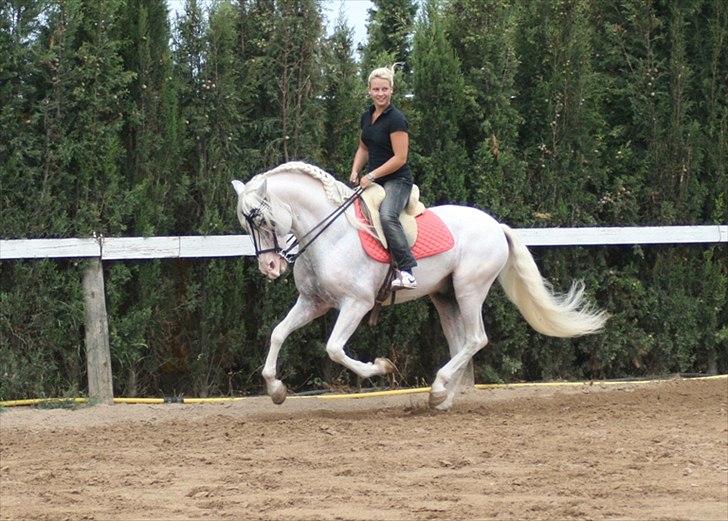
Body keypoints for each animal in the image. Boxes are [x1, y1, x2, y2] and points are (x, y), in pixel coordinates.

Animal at [233, 160, 608, 408]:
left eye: (261, 219)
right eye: (245, 223)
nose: (269, 267)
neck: (333, 234)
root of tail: (496, 225)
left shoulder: (356, 304)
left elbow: (335, 349)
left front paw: (381, 367)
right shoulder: (313, 302)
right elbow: (278, 333)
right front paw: (275, 389)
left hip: (470, 289)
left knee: (476, 338)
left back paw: (439, 390)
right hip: (446, 296)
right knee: (461, 343)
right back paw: (441, 398)